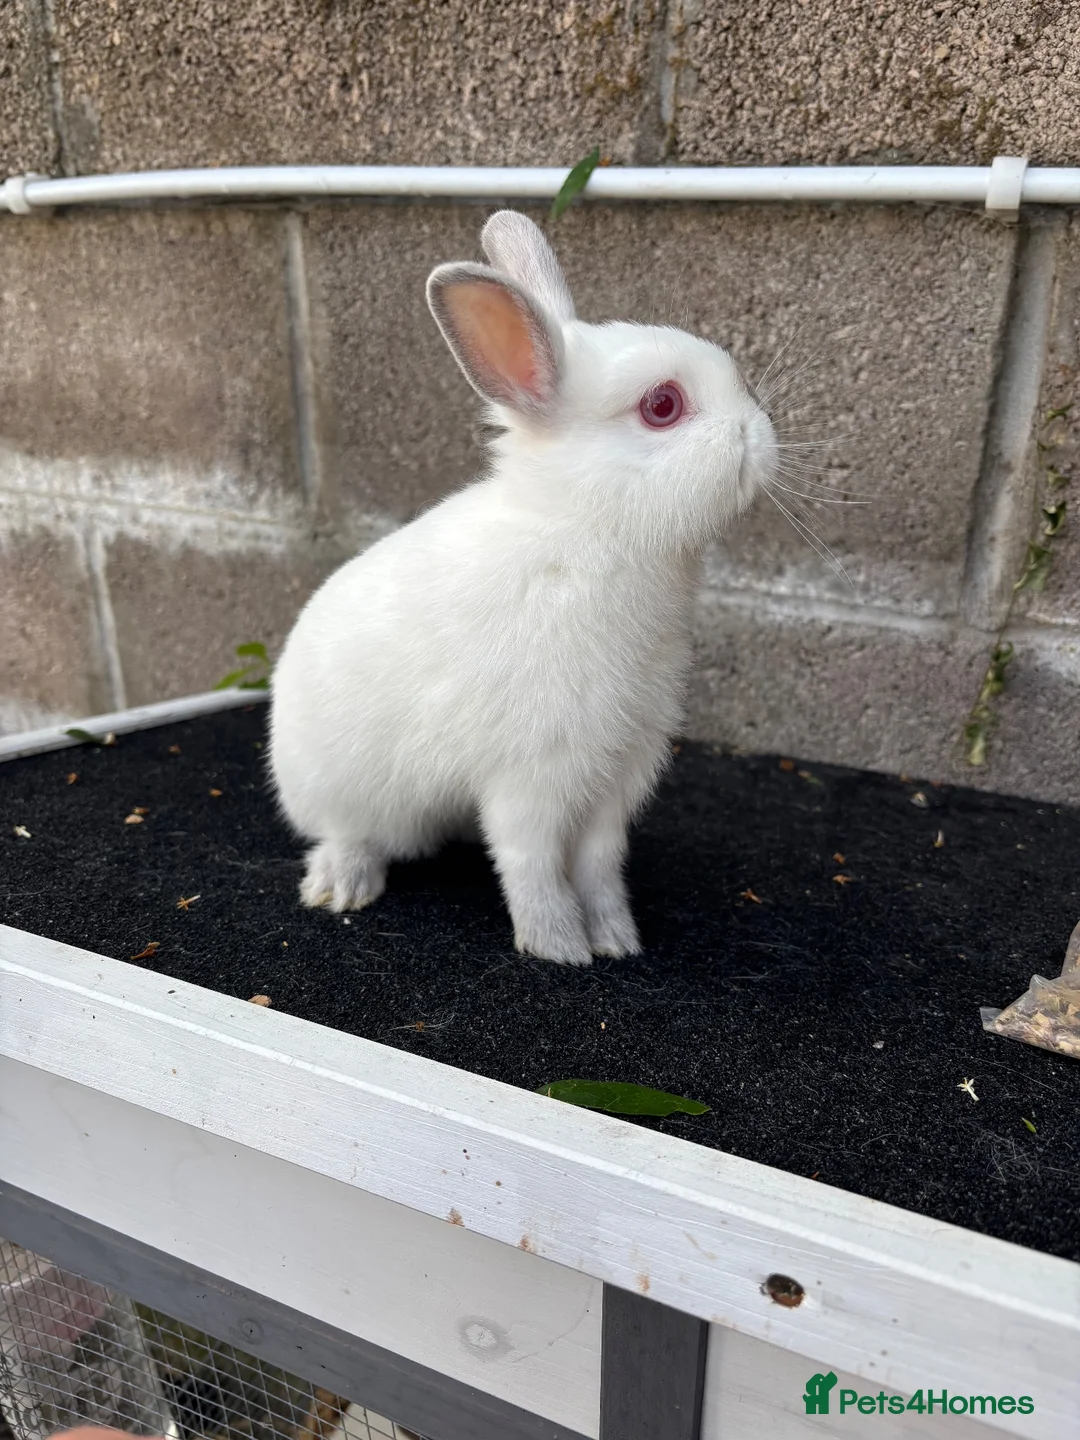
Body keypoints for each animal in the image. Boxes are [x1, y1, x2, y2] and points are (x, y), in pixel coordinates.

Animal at [269, 209, 776, 965]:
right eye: (662, 405)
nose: (760, 433)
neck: (586, 533)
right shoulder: (530, 773)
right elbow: (532, 865)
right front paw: (559, 947)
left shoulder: (617, 773)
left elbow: (598, 865)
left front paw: (616, 940)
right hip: (336, 789)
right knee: (347, 833)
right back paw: (341, 886)